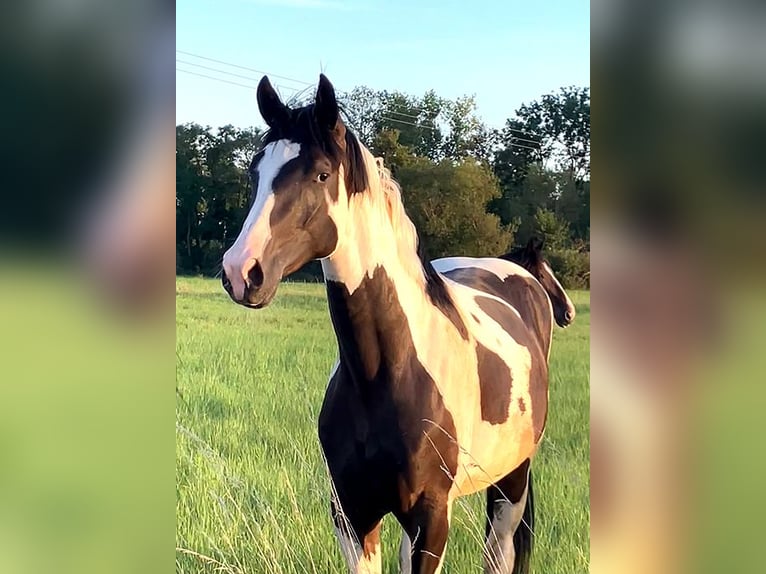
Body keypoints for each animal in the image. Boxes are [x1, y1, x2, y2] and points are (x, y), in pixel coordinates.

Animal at [221, 74, 552, 574]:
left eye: (321, 174)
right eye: (256, 172)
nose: (242, 272)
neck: (388, 372)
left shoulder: (431, 517)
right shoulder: (352, 513)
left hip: (511, 483)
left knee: (500, 554)